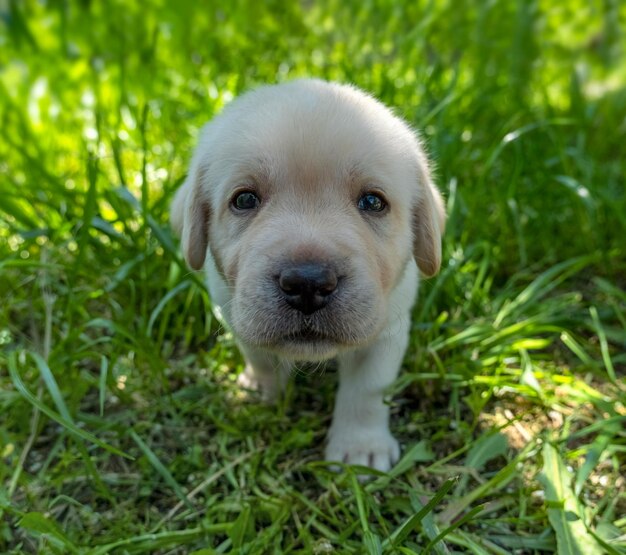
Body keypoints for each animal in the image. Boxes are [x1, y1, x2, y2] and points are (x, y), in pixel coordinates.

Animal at [169, 79, 444, 474]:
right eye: (245, 200)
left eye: (373, 202)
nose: (308, 284)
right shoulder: (234, 310)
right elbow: (260, 357)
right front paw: (263, 391)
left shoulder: (388, 328)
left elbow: (368, 388)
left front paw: (360, 448)